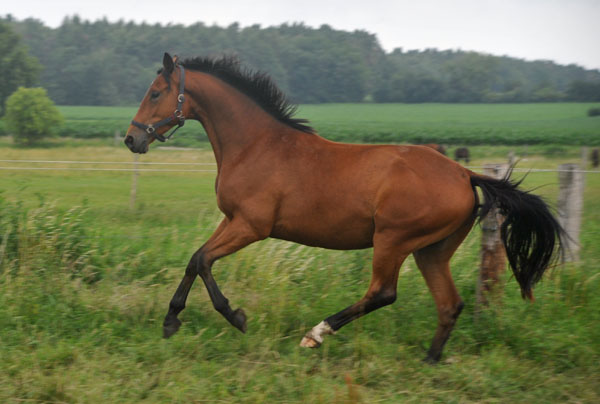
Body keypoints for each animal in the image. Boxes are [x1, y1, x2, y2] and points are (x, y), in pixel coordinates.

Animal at [124, 53, 564, 362]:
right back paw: (430, 360)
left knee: (383, 292)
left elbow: (202, 261)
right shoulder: (232, 221)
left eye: (156, 93)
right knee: (449, 304)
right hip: (432, 251)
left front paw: (235, 317)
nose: (132, 139)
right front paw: (171, 320)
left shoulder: (250, 226)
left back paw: (316, 334)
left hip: (393, 240)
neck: (256, 145)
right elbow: (195, 259)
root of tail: (464, 173)